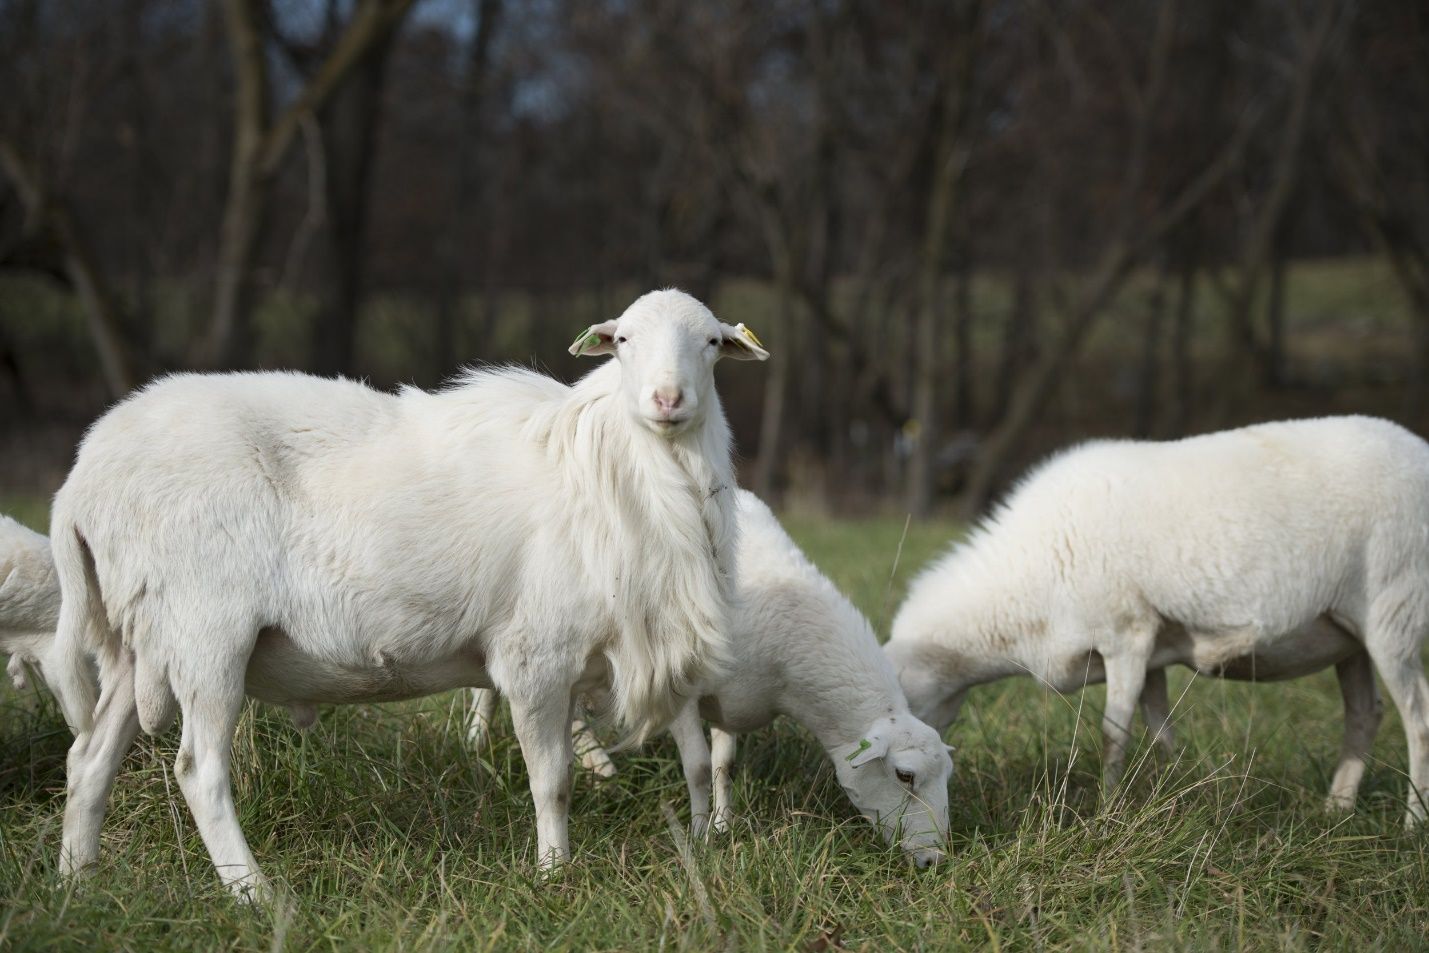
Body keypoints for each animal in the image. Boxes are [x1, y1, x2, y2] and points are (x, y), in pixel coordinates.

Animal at [50, 287, 771, 897]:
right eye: (622, 340)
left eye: (710, 342)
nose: (667, 399)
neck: (620, 469)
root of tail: (83, 475)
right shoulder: (536, 652)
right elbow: (553, 781)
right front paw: (553, 874)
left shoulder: (643, 640)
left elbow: (695, 759)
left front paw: (703, 845)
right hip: (206, 631)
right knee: (200, 770)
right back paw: (255, 894)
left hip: (140, 637)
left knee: (89, 758)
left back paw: (76, 881)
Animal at [474, 488, 954, 868]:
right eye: (905, 775)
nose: (935, 860)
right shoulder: (681, 693)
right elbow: (700, 768)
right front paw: (701, 837)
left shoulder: (734, 700)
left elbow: (725, 767)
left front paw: (724, 826)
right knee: (496, 689)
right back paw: (480, 743)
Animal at [880, 417, 1429, 828]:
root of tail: (1418, 447)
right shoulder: (1152, 654)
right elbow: (1160, 731)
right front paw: (1183, 794)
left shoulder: (1126, 635)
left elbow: (1112, 733)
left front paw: (1107, 812)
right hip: (1348, 635)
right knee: (1365, 714)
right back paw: (1337, 810)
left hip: (1394, 610)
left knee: (1417, 717)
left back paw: (1412, 823)